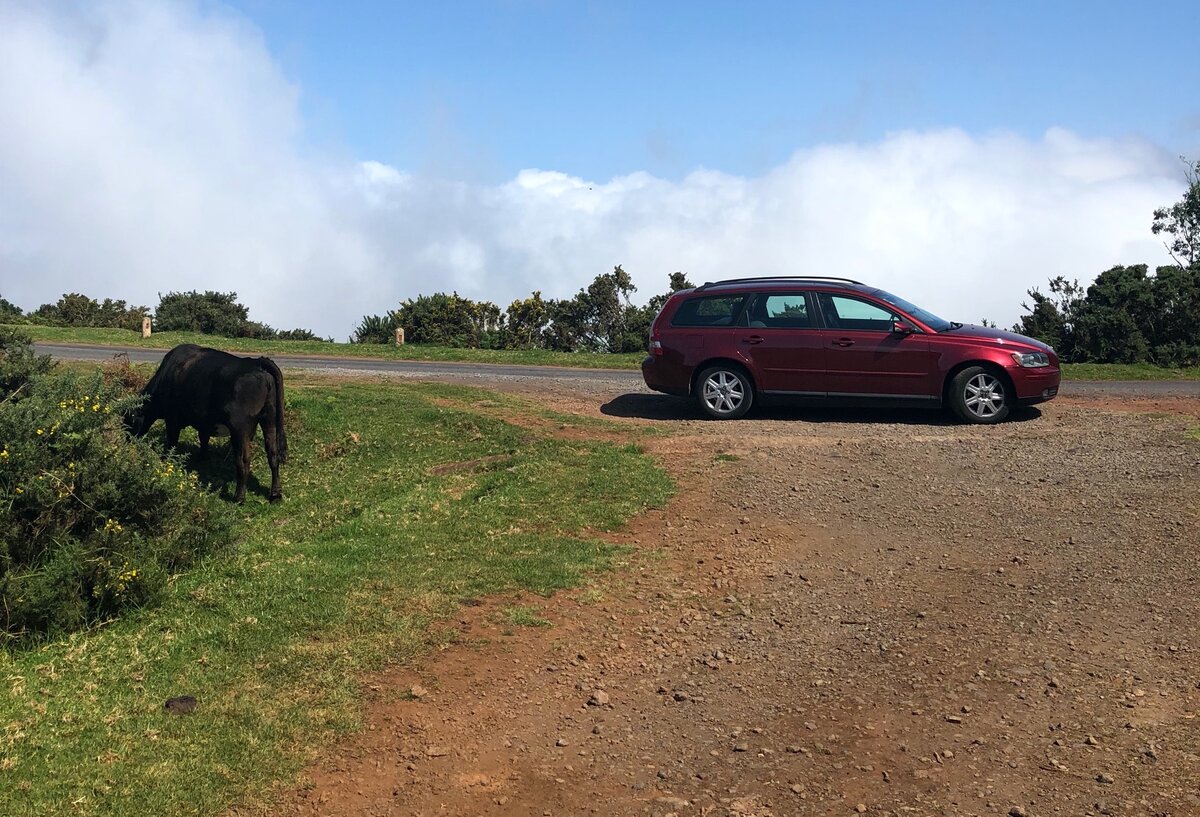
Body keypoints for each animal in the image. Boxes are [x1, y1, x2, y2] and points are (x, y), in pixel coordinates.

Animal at [127, 343, 288, 501]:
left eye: (127, 421)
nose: (127, 443)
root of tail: (256, 362)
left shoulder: (172, 418)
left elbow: (172, 441)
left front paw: (167, 459)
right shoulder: (203, 421)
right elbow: (203, 438)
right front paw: (202, 457)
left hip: (240, 428)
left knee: (243, 461)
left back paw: (239, 497)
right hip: (270, 419)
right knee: (273, 454)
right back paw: (275, 493)